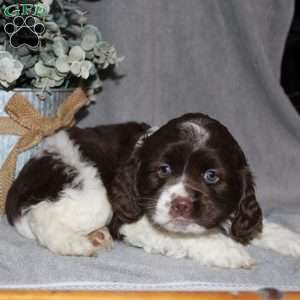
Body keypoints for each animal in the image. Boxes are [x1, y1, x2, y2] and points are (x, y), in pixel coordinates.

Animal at [5, 113, 300, 268]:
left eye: (211, 176)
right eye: (163, 170)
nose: (181, 204)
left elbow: (259, 227)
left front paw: (293, 241)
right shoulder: (128, 218)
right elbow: (181, 235)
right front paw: (229, 251)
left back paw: (96, 236)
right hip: (91, 192)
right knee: (40, 213)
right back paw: (74, 243)